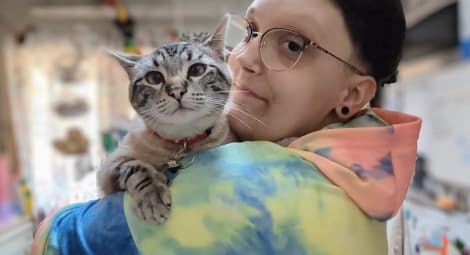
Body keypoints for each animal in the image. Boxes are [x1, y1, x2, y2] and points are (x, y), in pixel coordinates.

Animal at [99, 19, 239, 223]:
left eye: (197, 70)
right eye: (154, 78)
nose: (177, 90)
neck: (180, 145)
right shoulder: (109, 168)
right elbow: (135, 167)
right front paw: (152, 196)